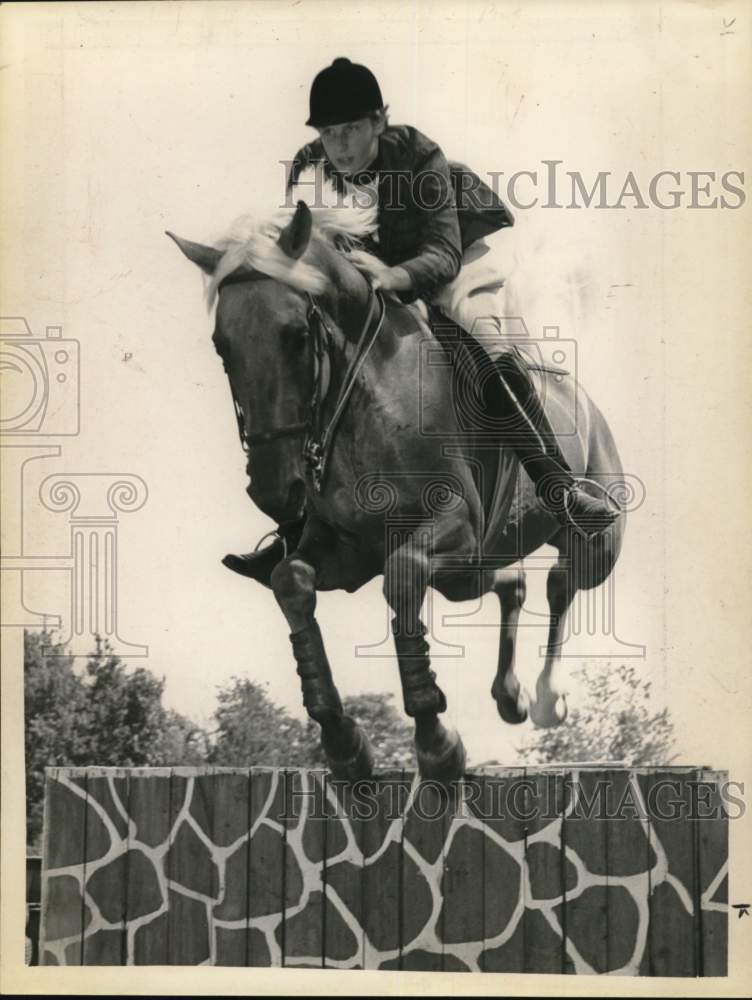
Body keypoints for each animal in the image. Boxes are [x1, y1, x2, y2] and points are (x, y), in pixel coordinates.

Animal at [169, 199, 624, 784]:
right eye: (221, 346)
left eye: (297, 336)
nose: (274, 490)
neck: (366, 395)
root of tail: (581, 399)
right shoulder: (348, 550)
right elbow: (290, 581)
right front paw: (343, 744)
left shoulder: (453, 527)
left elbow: (404, 577)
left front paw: (437, 744)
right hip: (468, 573)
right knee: (512, 583)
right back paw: (511, 696)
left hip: (594, 541)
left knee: (564, 580)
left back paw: (548, 697)